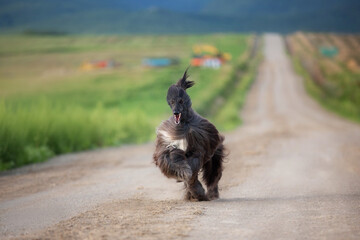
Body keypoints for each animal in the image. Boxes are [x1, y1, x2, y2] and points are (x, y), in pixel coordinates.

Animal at [153, 69, 225, 201]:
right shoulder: (168, 144)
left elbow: (193, 169)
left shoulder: (197, 148)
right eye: (172, 101)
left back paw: (210, 193)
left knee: (213, 174)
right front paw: (184, 174)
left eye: (181, 100)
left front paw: (197, 191)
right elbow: (171, 159)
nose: (176, 112)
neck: (183, 125)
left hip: (214, 155)